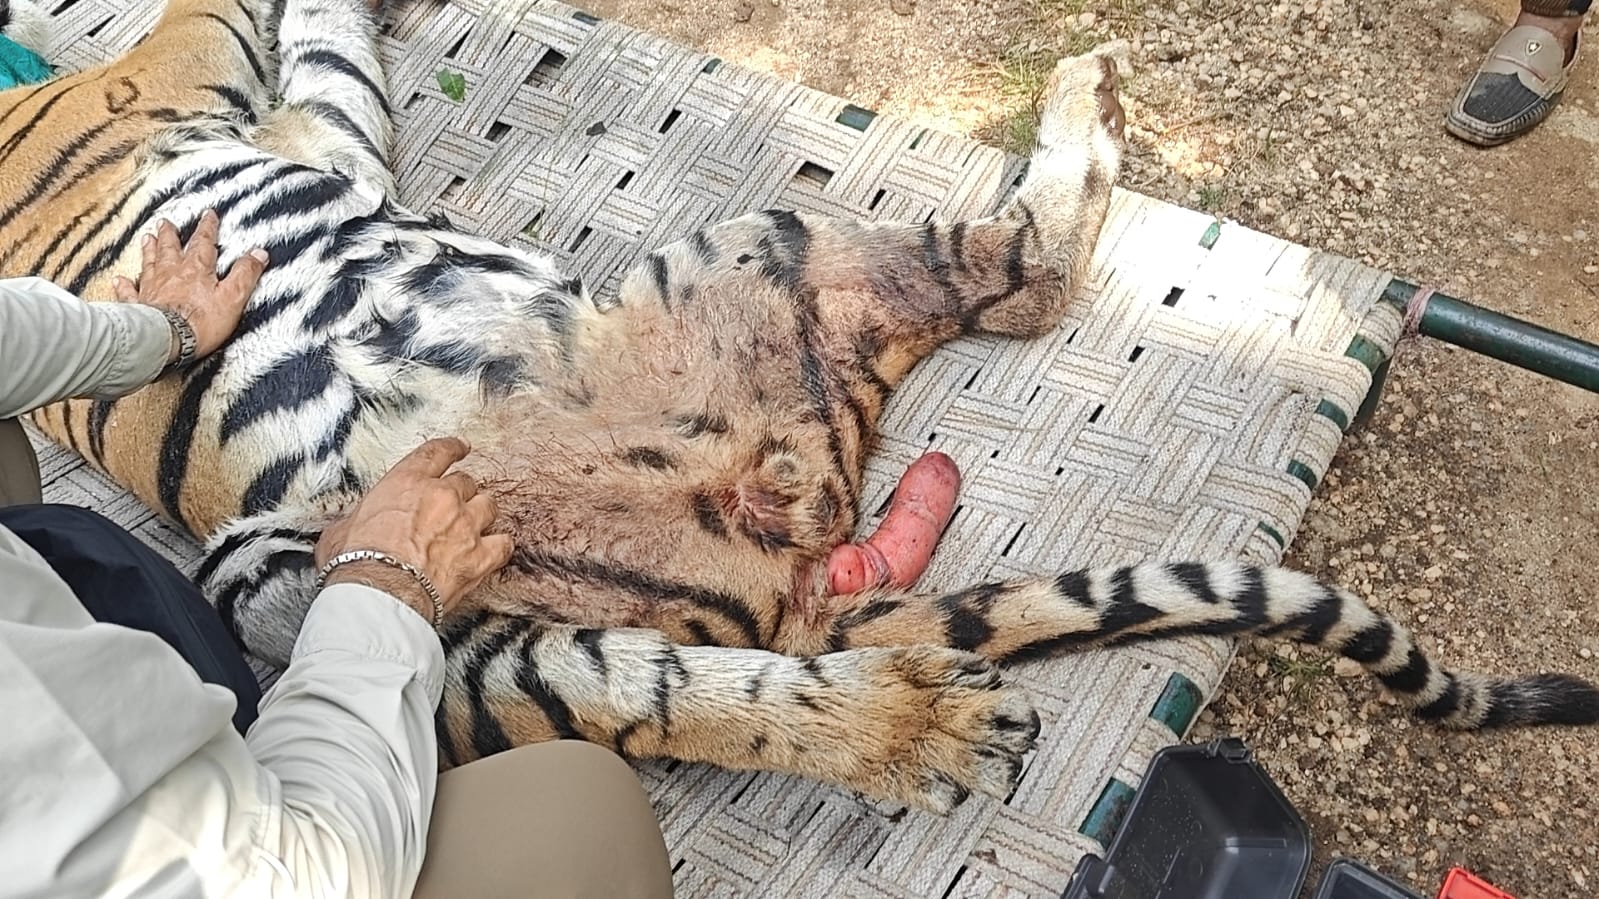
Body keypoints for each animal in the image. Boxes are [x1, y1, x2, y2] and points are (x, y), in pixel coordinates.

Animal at [2, 0, 1594, 814]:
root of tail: (788, 564)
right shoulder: (217, 64)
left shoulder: (313, 113)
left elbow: (325, 32)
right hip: (745, 260)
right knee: (1026, 271)